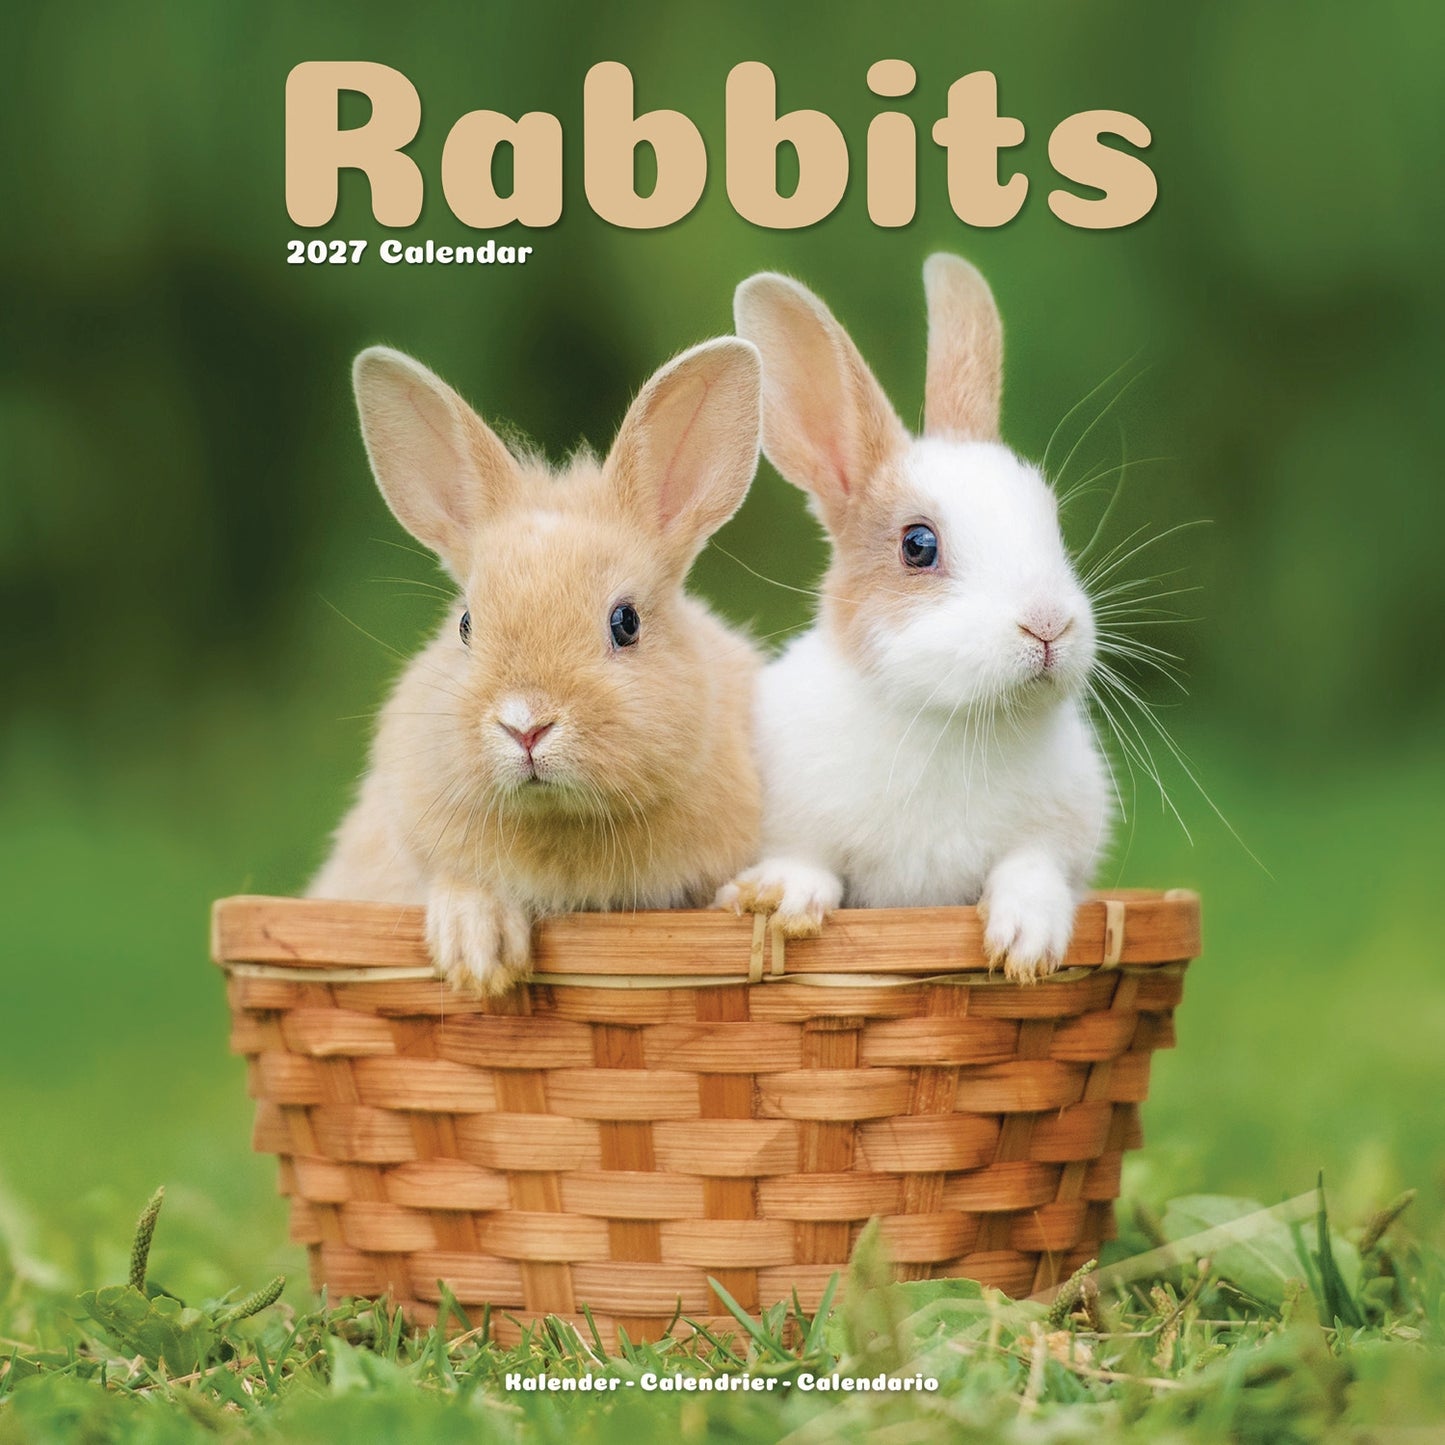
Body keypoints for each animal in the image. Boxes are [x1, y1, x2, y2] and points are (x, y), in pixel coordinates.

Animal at [717, 255, 1111, 981]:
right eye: (918, 544)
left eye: (1052, 521)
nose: (1047, 625)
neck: (952, 720)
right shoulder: (794, 821)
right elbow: (809, 861)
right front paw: (780, 898)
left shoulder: (1058, 839)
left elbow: (1031, 868)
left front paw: (1026, 945)